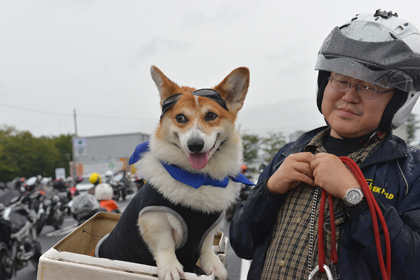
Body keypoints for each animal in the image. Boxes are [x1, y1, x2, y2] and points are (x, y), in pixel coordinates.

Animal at [95, 65, 251, 280]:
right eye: (180, 118)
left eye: (211, 116)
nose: (195, 145)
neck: (198, 178)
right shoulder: (153, 218)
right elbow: (164, 245)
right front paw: (170, 268)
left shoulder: (210, 228)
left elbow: (206, 247)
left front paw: (214, 265)